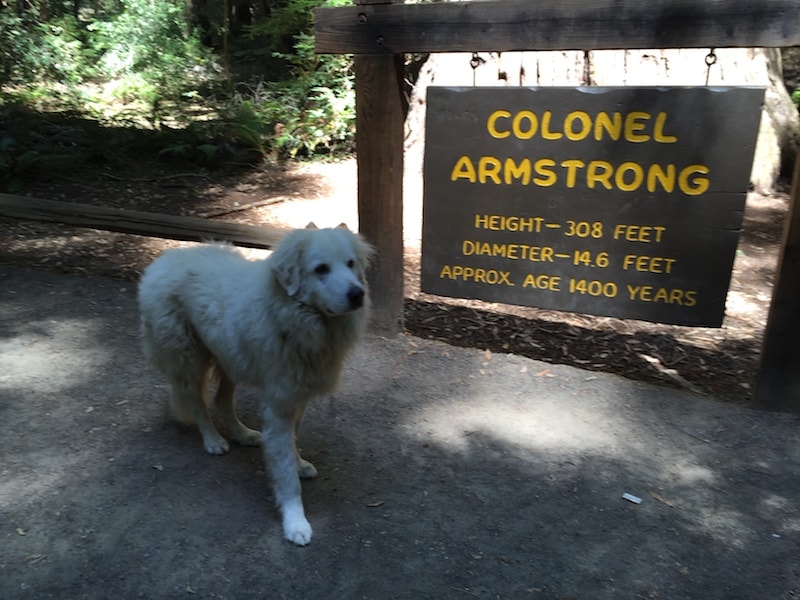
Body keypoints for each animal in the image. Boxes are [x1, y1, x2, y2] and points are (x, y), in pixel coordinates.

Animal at [138, 225, 376, 544]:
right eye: (321, 269)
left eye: (350, 264)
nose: (357, 294)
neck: (294, 314)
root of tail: (164, 260)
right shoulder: (280, 405)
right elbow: (285, 472)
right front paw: (295, 522)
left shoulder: (296, 396)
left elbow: (291, 442)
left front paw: (299, 463)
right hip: (189, 358)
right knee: (198, 403)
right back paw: (213, 441)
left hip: (229, 357)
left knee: (222, 401)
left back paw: (243, 434)